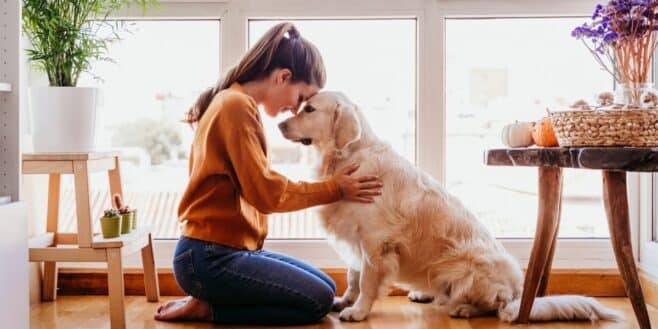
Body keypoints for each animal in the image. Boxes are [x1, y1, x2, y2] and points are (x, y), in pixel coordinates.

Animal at [276, 91, 620, 322]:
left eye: (309, 109)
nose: (279, 125)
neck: (347, 156)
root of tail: (518, 292)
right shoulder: (355, 236)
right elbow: (353, 275)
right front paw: (344, 301)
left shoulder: (375, 242)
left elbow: (368, 280)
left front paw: (358, 311)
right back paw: (425, 293)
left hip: (467, 267)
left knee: (494, 306)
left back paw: (464, 308)